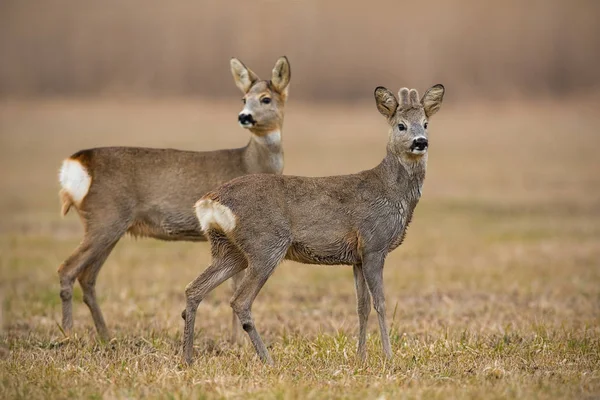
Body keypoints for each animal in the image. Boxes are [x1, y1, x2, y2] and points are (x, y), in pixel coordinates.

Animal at [57, 54, 292, 340]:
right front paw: (236, 341)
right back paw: (68, 333)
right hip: (105, 218)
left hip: (109, 226)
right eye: (244, 98)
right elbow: (235, 285)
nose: (244, 116)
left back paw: (105, 335)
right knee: (67, 270)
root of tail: (77, 163)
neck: (250, 163)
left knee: (87, 277)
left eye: (266, 99)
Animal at [183, 83, 446, 364]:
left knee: (194, 289)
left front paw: (361, 356)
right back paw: (268, 360)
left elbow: (361, 306)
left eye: (426, 123)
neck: (392, 192)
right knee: (239, 301)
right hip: (265, 245)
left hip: (229, 249)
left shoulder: (357, 256)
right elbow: (381, 303)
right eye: (401, 125)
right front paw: (388, 356)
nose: (420, 142)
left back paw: (187, 357)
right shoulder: (374, 244)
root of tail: (209, 201)